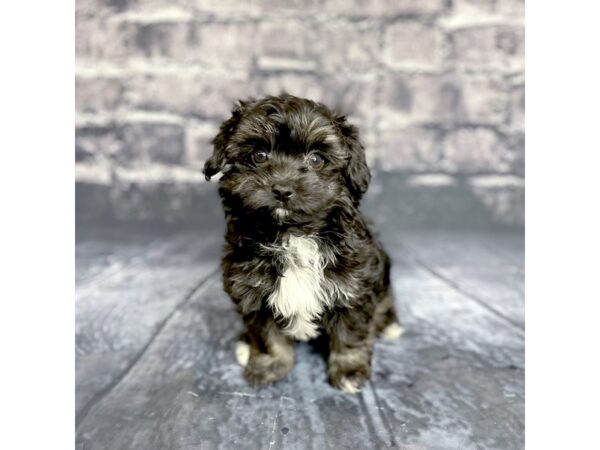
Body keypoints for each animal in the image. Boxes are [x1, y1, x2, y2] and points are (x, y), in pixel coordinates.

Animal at [204, 93, 406, 392]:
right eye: (259, 155)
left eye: (316, 159)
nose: (282, 190)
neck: (293, 236)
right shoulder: (252, 291)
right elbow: (266, 336)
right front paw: (269, 366)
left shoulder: (353, 288)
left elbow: (350, 335)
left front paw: (348, 371)